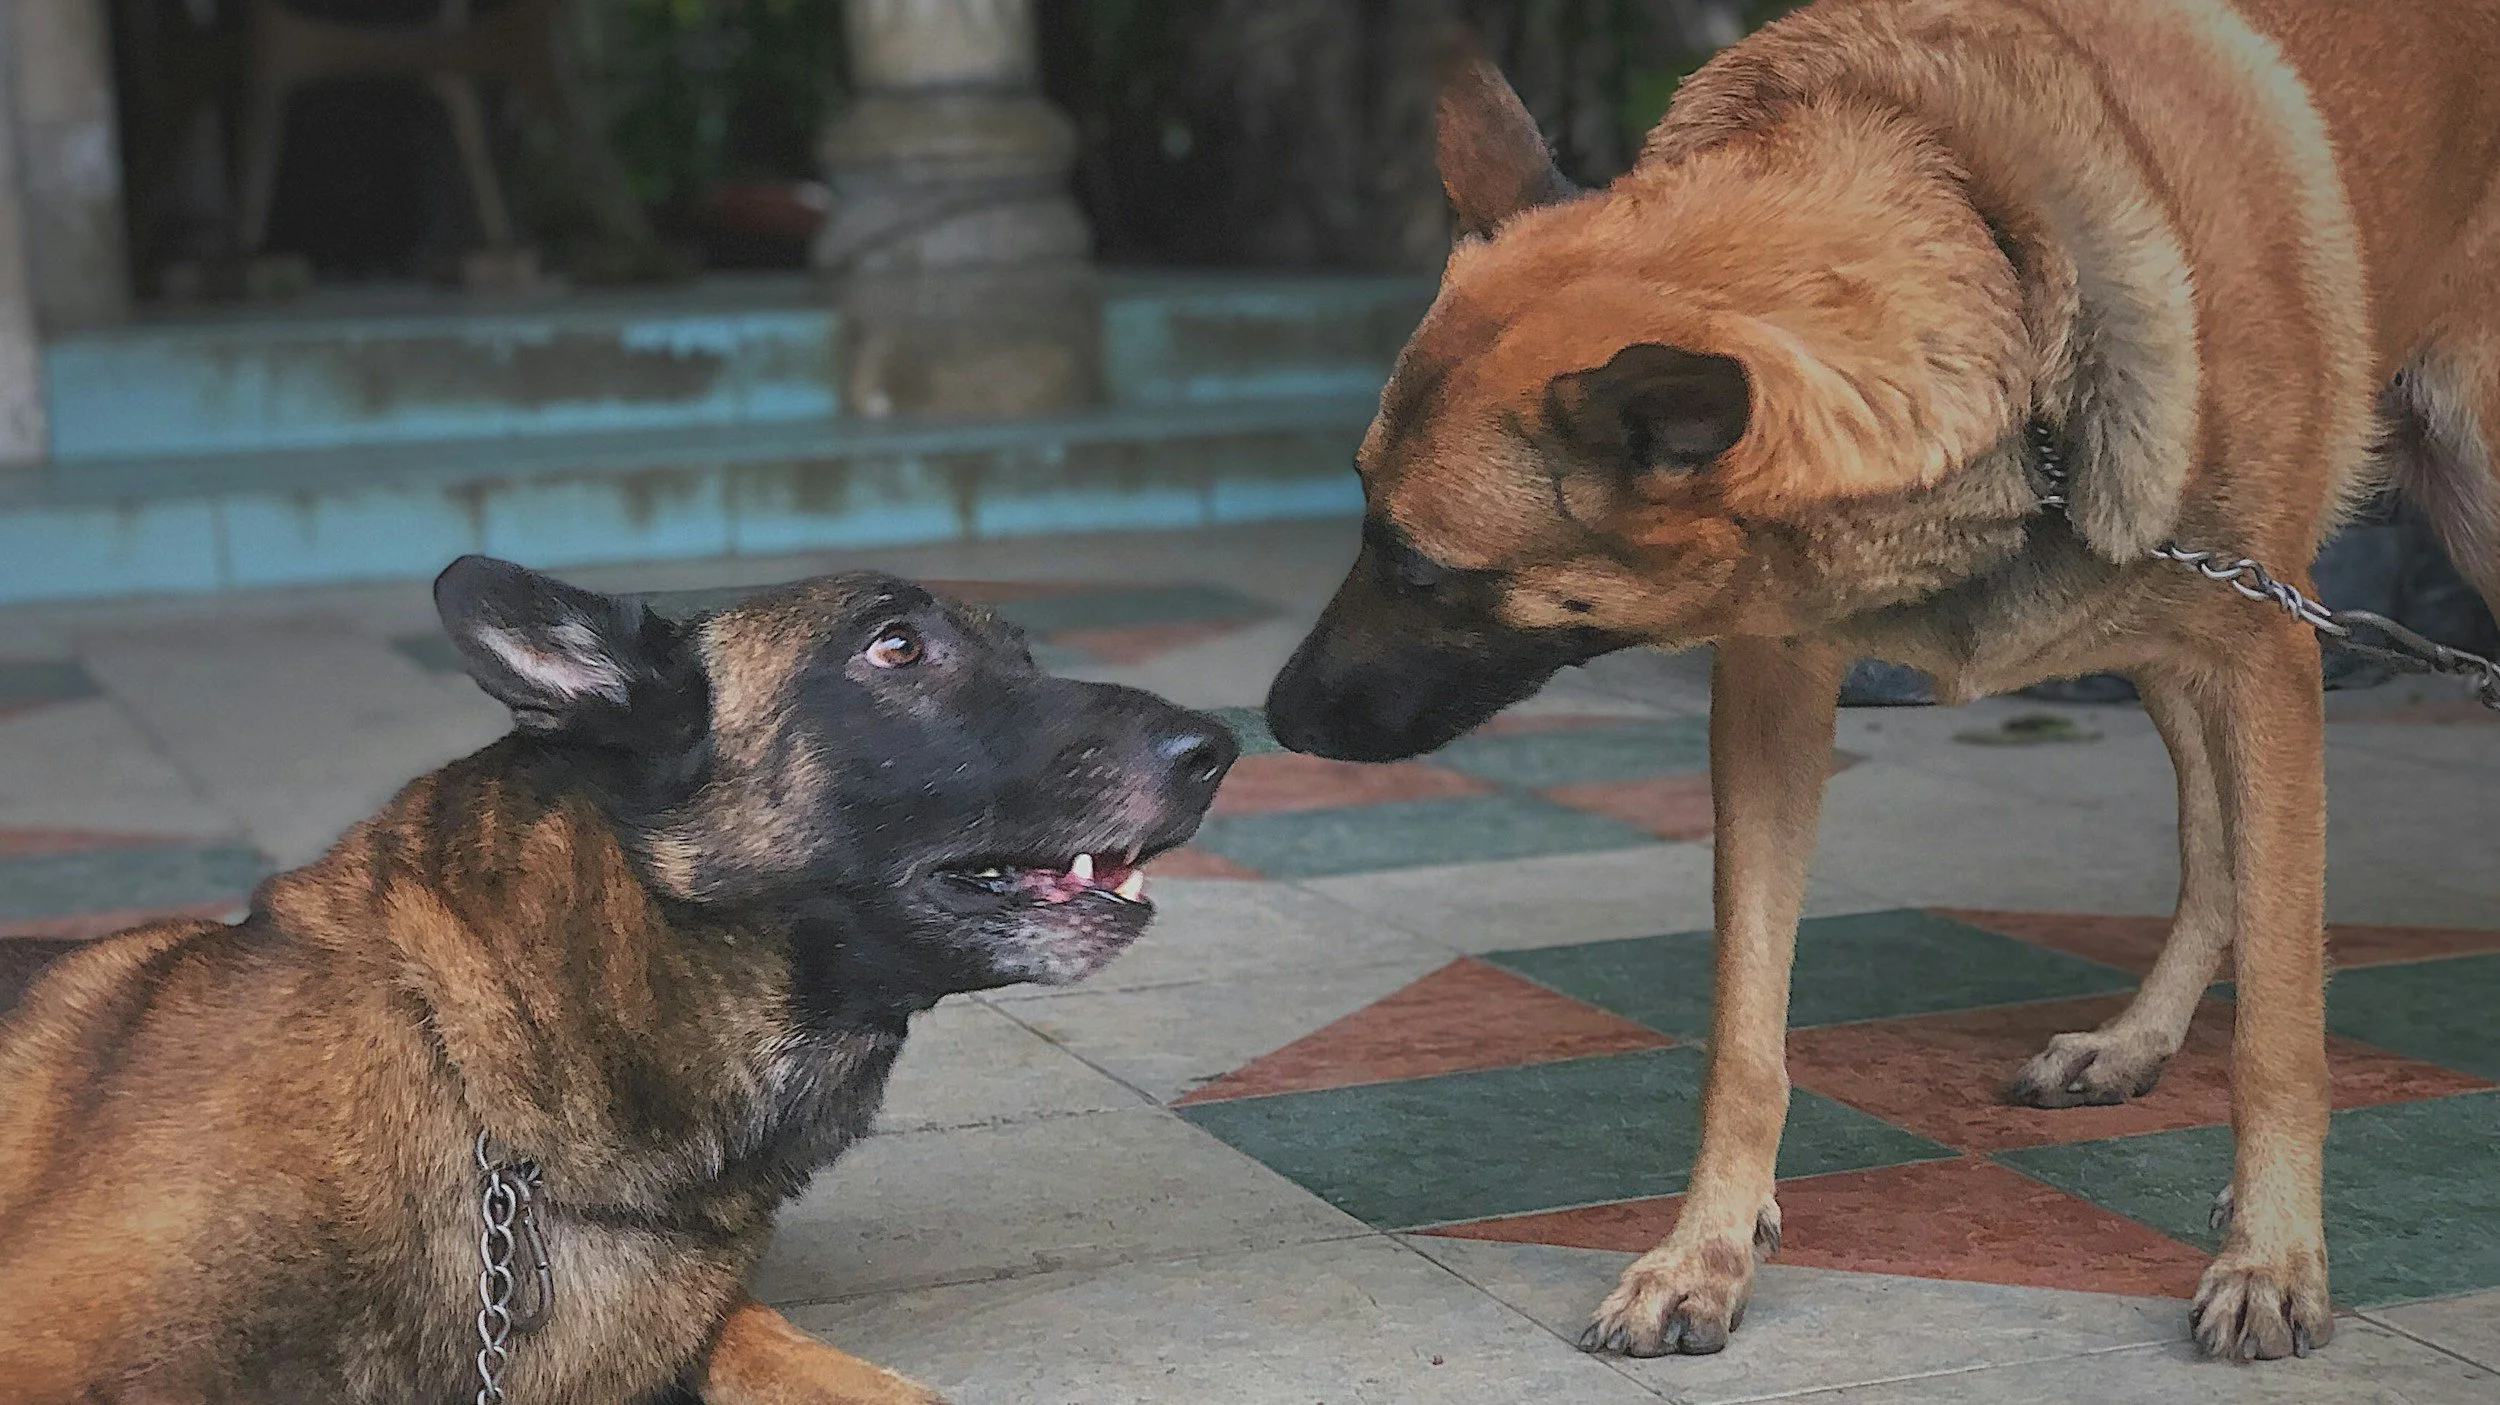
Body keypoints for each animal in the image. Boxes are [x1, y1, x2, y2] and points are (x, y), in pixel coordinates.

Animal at [1264, 0, 2500, 1365]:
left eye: (1423, 569)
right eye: (1358, 513)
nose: (1273, 721)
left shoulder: (2268, 657)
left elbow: (2282, 1031)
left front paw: (2272, 1257)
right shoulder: (1771, 693)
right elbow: (1744, 1030)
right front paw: (1705, 1249)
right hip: (2152, 640)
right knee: (2208, 848)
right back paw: (2132, 1040)